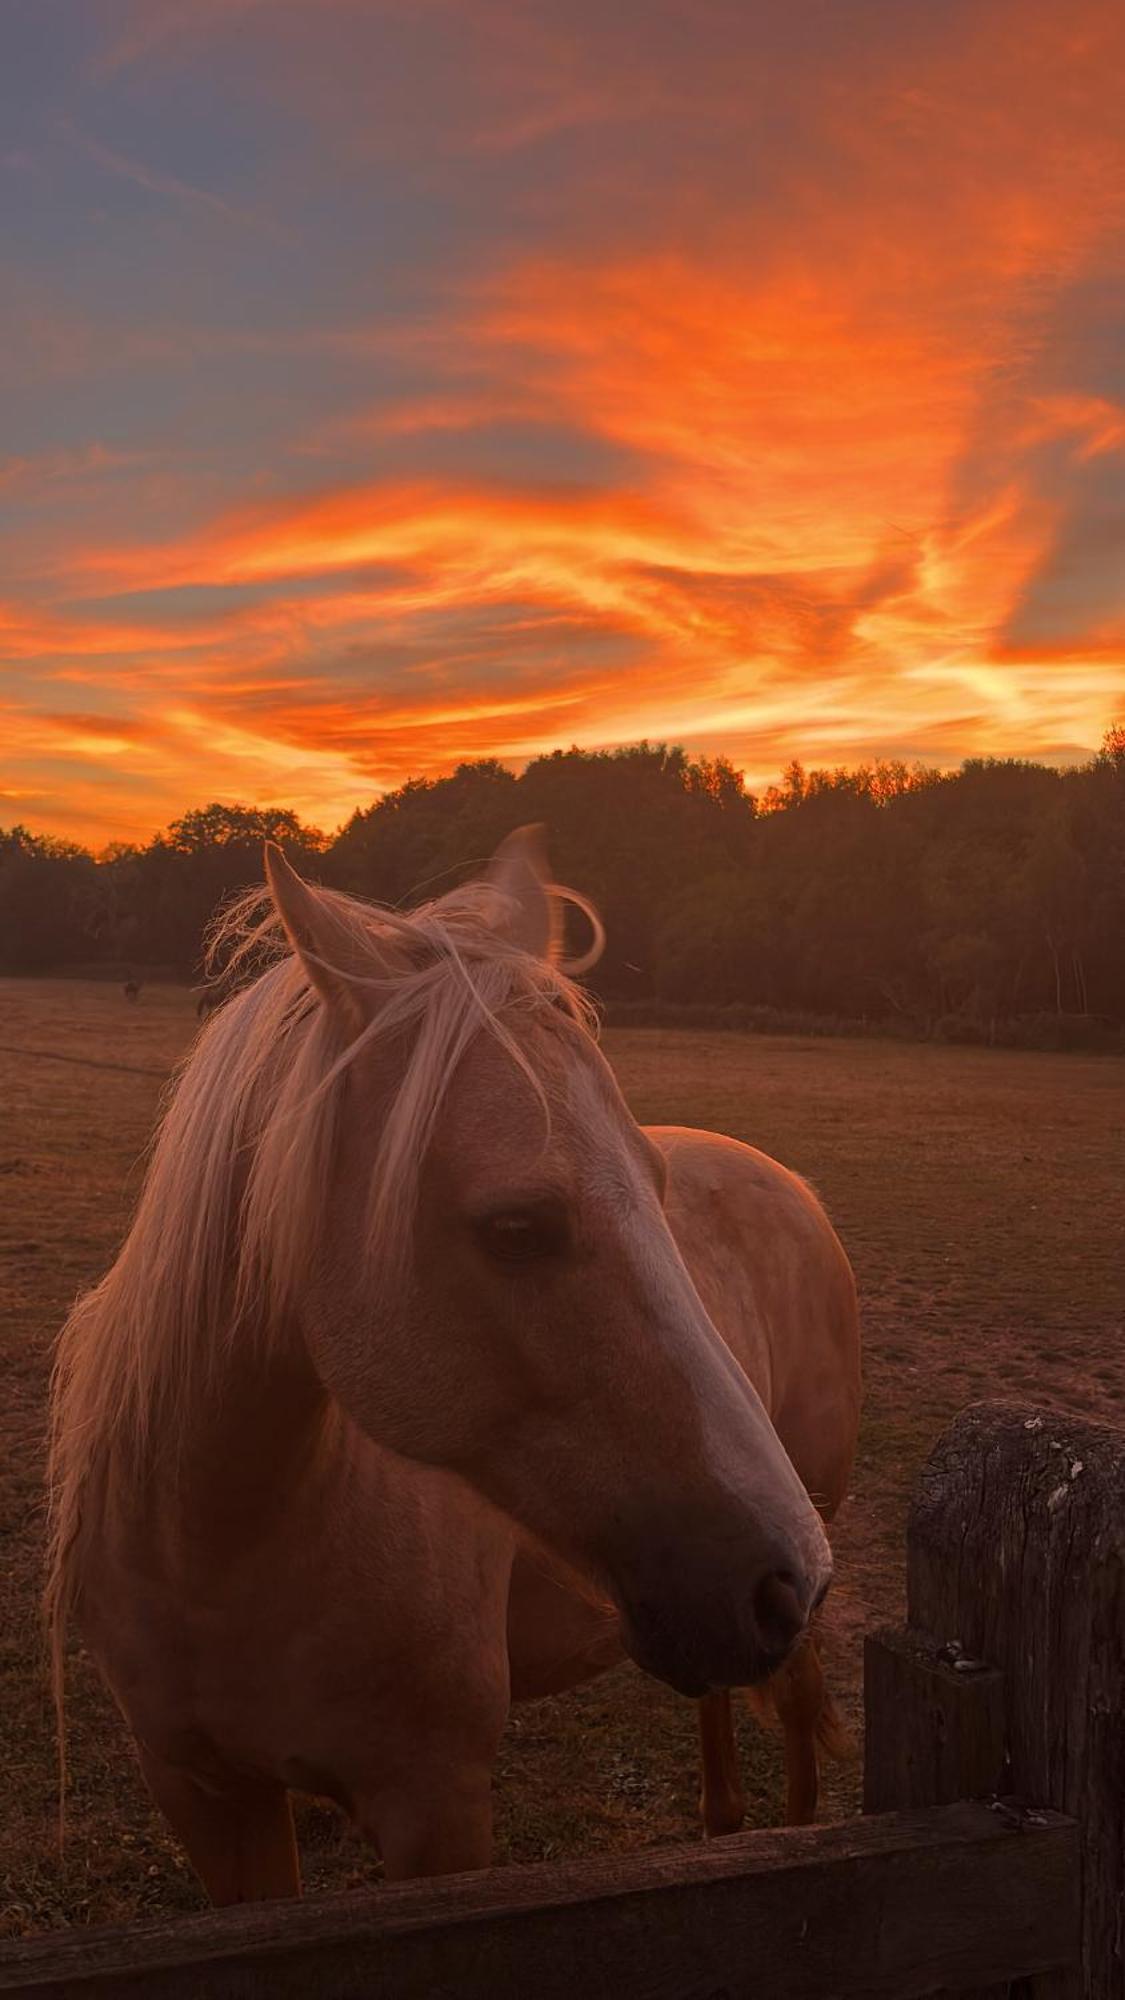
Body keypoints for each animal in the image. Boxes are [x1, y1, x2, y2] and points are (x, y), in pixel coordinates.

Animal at [41, 832, 848, 1904]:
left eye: (655, 1184)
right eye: (515, 1229)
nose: (784, 1578)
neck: (211, 1551)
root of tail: (791, 1184)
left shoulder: (436, 1809)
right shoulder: (207, 1800)